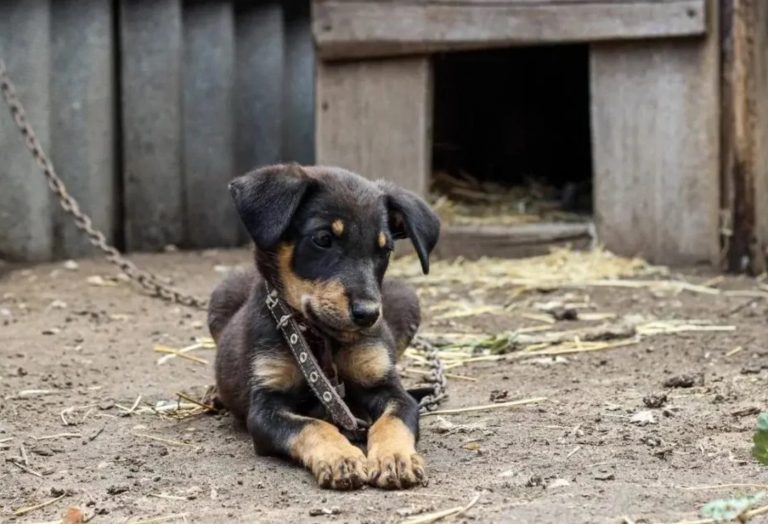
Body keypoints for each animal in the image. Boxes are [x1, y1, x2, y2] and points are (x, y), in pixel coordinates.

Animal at [207, 165, 440, 492]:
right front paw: (341, 457)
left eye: (385, 250)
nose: (368, 315)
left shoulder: (389, 389)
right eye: (323, 239)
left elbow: (392, 421)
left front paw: (395, 458)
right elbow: (313, 425)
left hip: (407, 299)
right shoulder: (265, 406)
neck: (322, 339)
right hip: (222, 294)